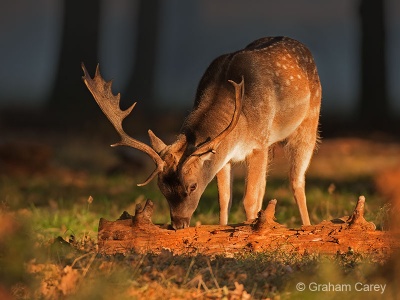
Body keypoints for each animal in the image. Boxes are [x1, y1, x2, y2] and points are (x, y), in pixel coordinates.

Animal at [82, 36, 322, 229]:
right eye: (161, 187)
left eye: (193, 186)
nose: (178, 224)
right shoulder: (225, 154)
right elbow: (225, 200)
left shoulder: (258, 143)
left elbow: (249, 200)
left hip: (310, 119)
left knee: (296, 180)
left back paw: (307, 228)